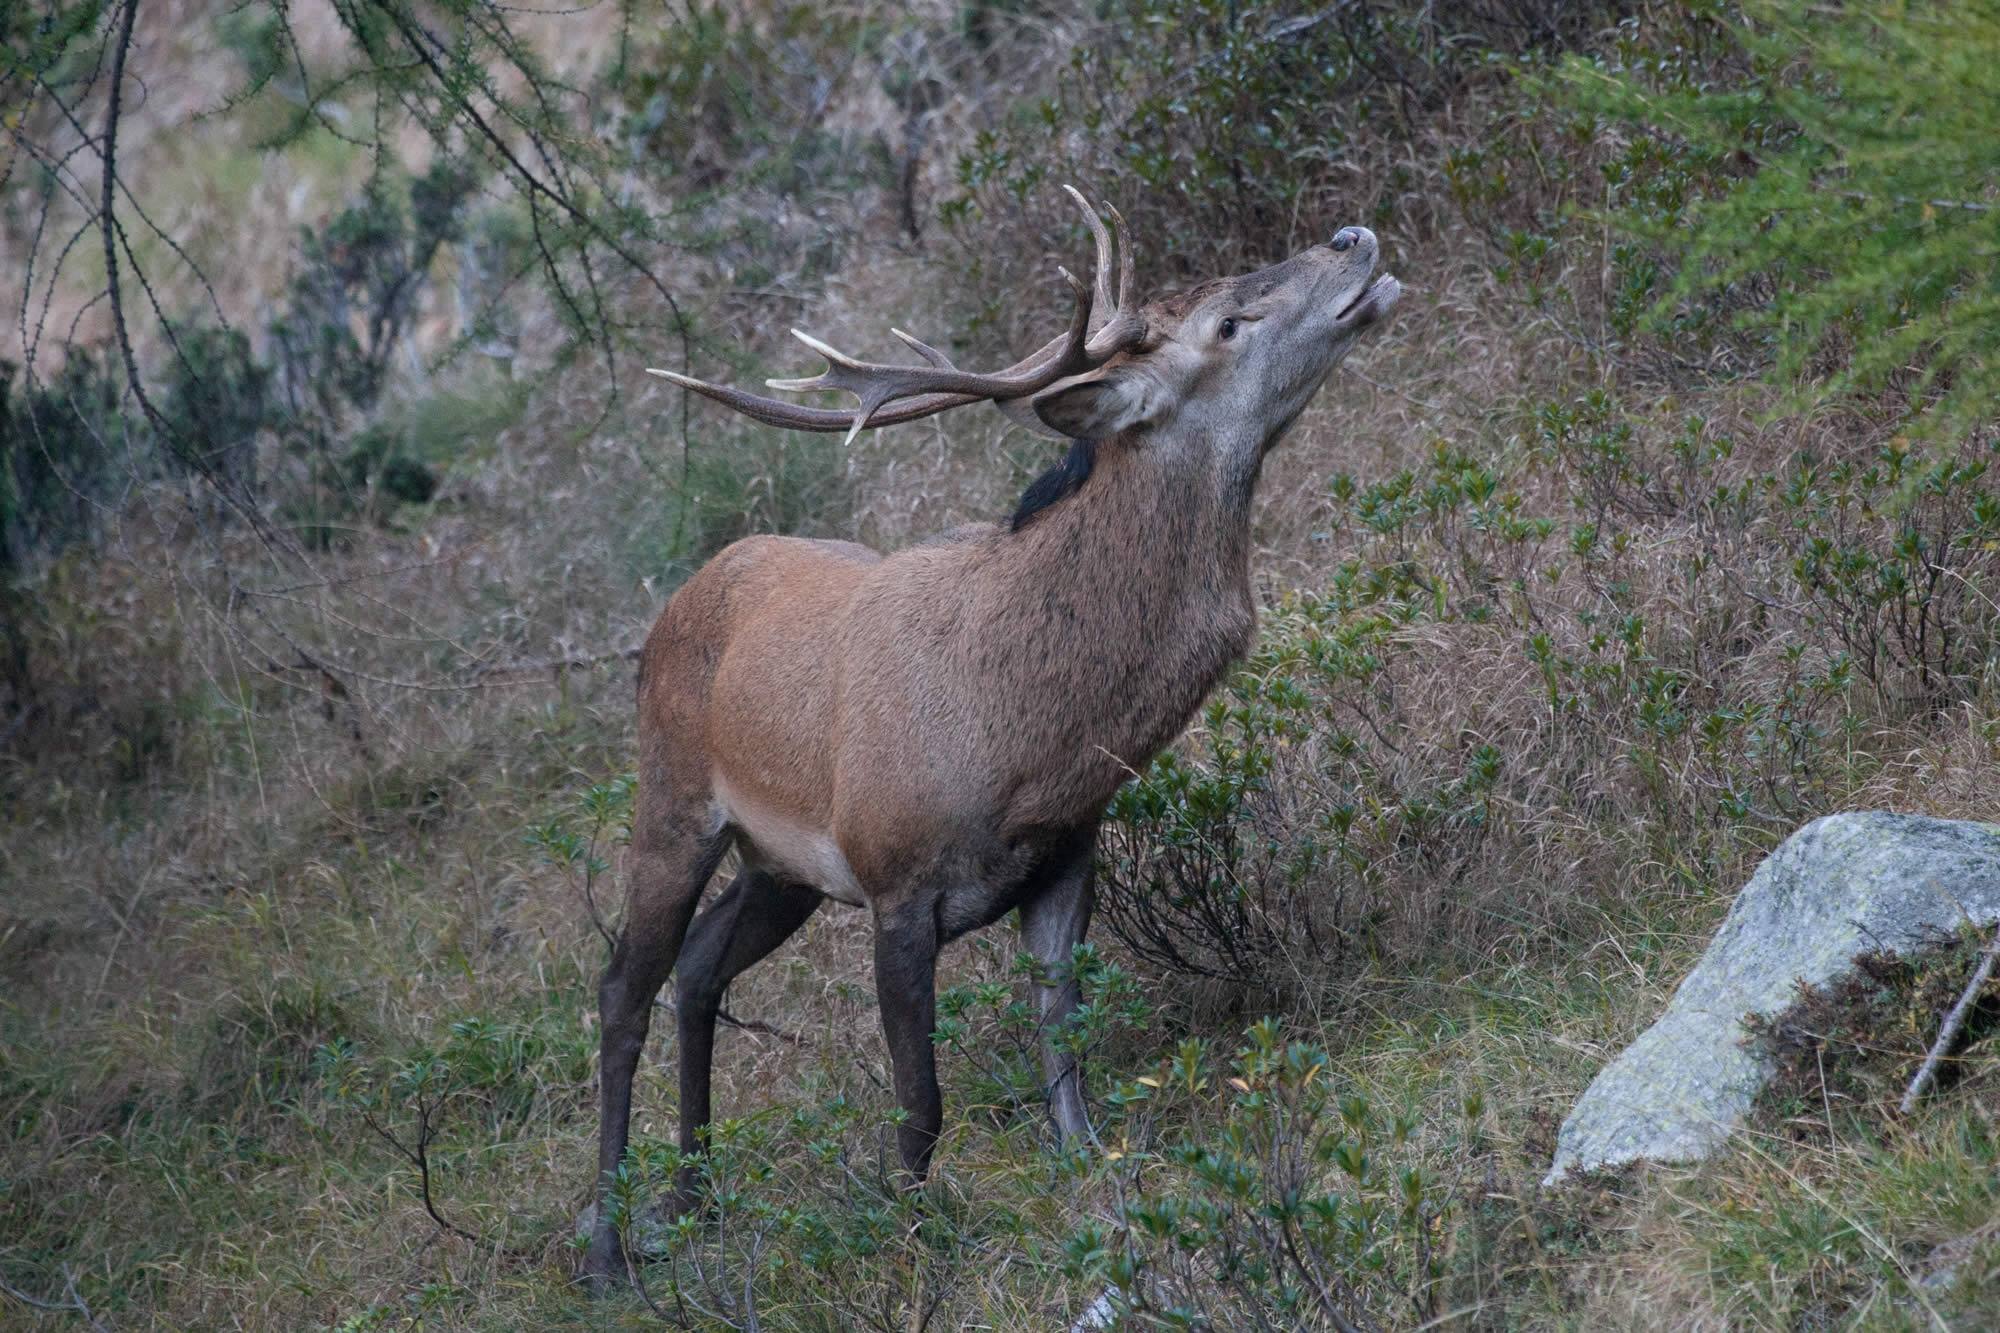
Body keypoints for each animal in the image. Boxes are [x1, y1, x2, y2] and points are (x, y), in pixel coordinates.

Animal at [585, 186, 1400, 1286]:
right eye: (1227, 323)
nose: (1351, 240)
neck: (1026, 745)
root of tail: (679, 599)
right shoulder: (896, 882)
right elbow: (921, 1102)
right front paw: (903, 1233)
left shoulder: (1065, 858)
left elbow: (1062, 1042)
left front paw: (1089, 1173)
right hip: (672, 802)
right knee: (621, 987)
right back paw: (607, 1246)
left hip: (781, 867)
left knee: (703, 964)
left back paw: (692, 1194)